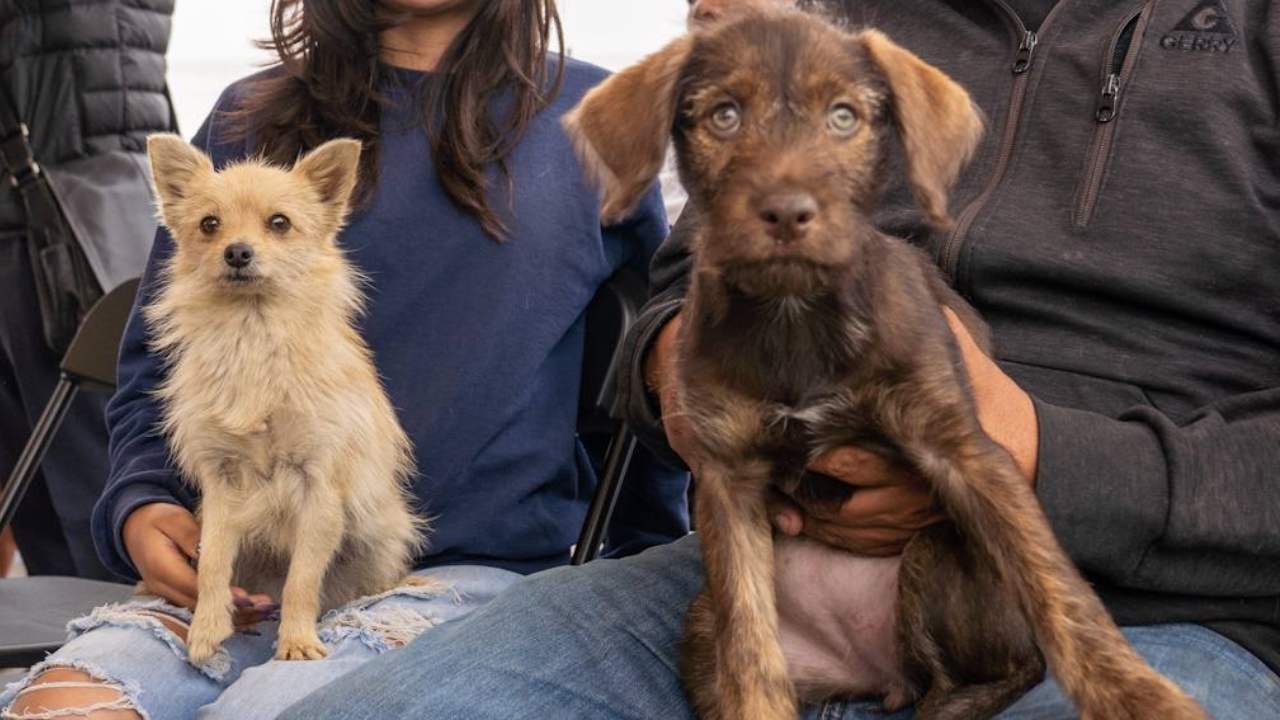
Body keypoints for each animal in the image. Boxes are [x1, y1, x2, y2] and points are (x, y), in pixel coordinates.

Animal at [144, 134, 424, 661]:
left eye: (279, 223)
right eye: (209, 224)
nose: (237, 252)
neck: (254, 335)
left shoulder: (319, 490)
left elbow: (302, 579)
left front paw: (296, 640)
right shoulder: (221, 485)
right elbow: (212, 562)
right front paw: (207, 627)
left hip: (377, 541)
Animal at [563, 9, 1208, 717]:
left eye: (844, 117)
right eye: (724, 115)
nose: (787, 213)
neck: (795, 315)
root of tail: (870, 675)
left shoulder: (967, 450)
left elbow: (1059, 591)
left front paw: (1140, 695)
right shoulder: (726, 482)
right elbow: (749, 655)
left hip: (936, 549)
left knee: (1001, 670)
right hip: (700, 625)